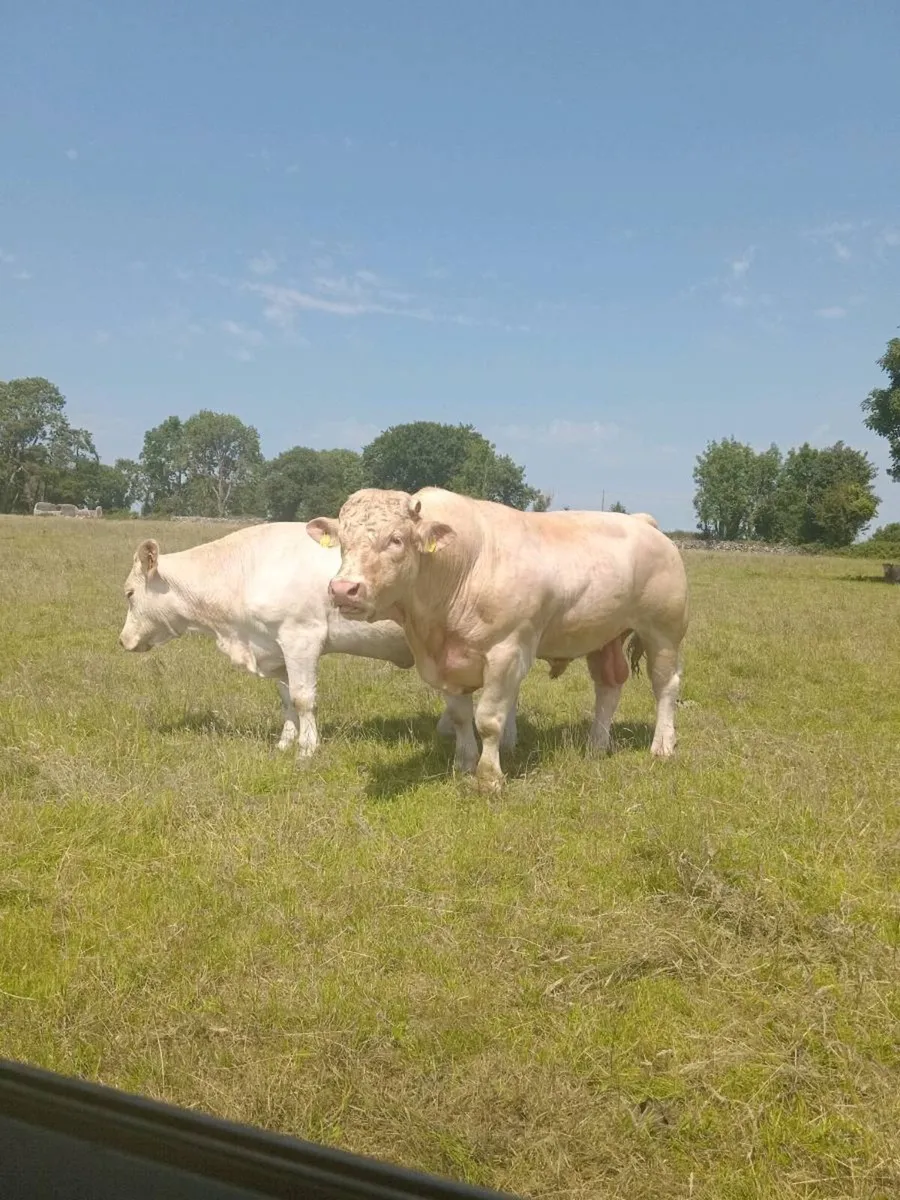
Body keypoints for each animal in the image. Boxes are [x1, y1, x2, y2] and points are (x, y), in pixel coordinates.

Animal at [117, 522, 478, 757]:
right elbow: (286, 699)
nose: (122, 641)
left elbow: (304, 698)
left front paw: (306, 749)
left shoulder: (301, 637)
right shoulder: (275, 648)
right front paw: (284, 743)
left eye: (130, 593)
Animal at [306, 489, 689, 791]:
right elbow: (461, 717)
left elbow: (488, 719)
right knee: (608, 687)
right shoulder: (445, 661)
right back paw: (595, 746)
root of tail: (642, 522)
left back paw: (662, 745)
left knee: (665, 686)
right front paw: (463, 764)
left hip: (664, 631)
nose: (343, 589)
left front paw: (489, 777)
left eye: (396, 539)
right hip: (603, 635)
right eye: (343, 543)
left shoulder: (506, 652)